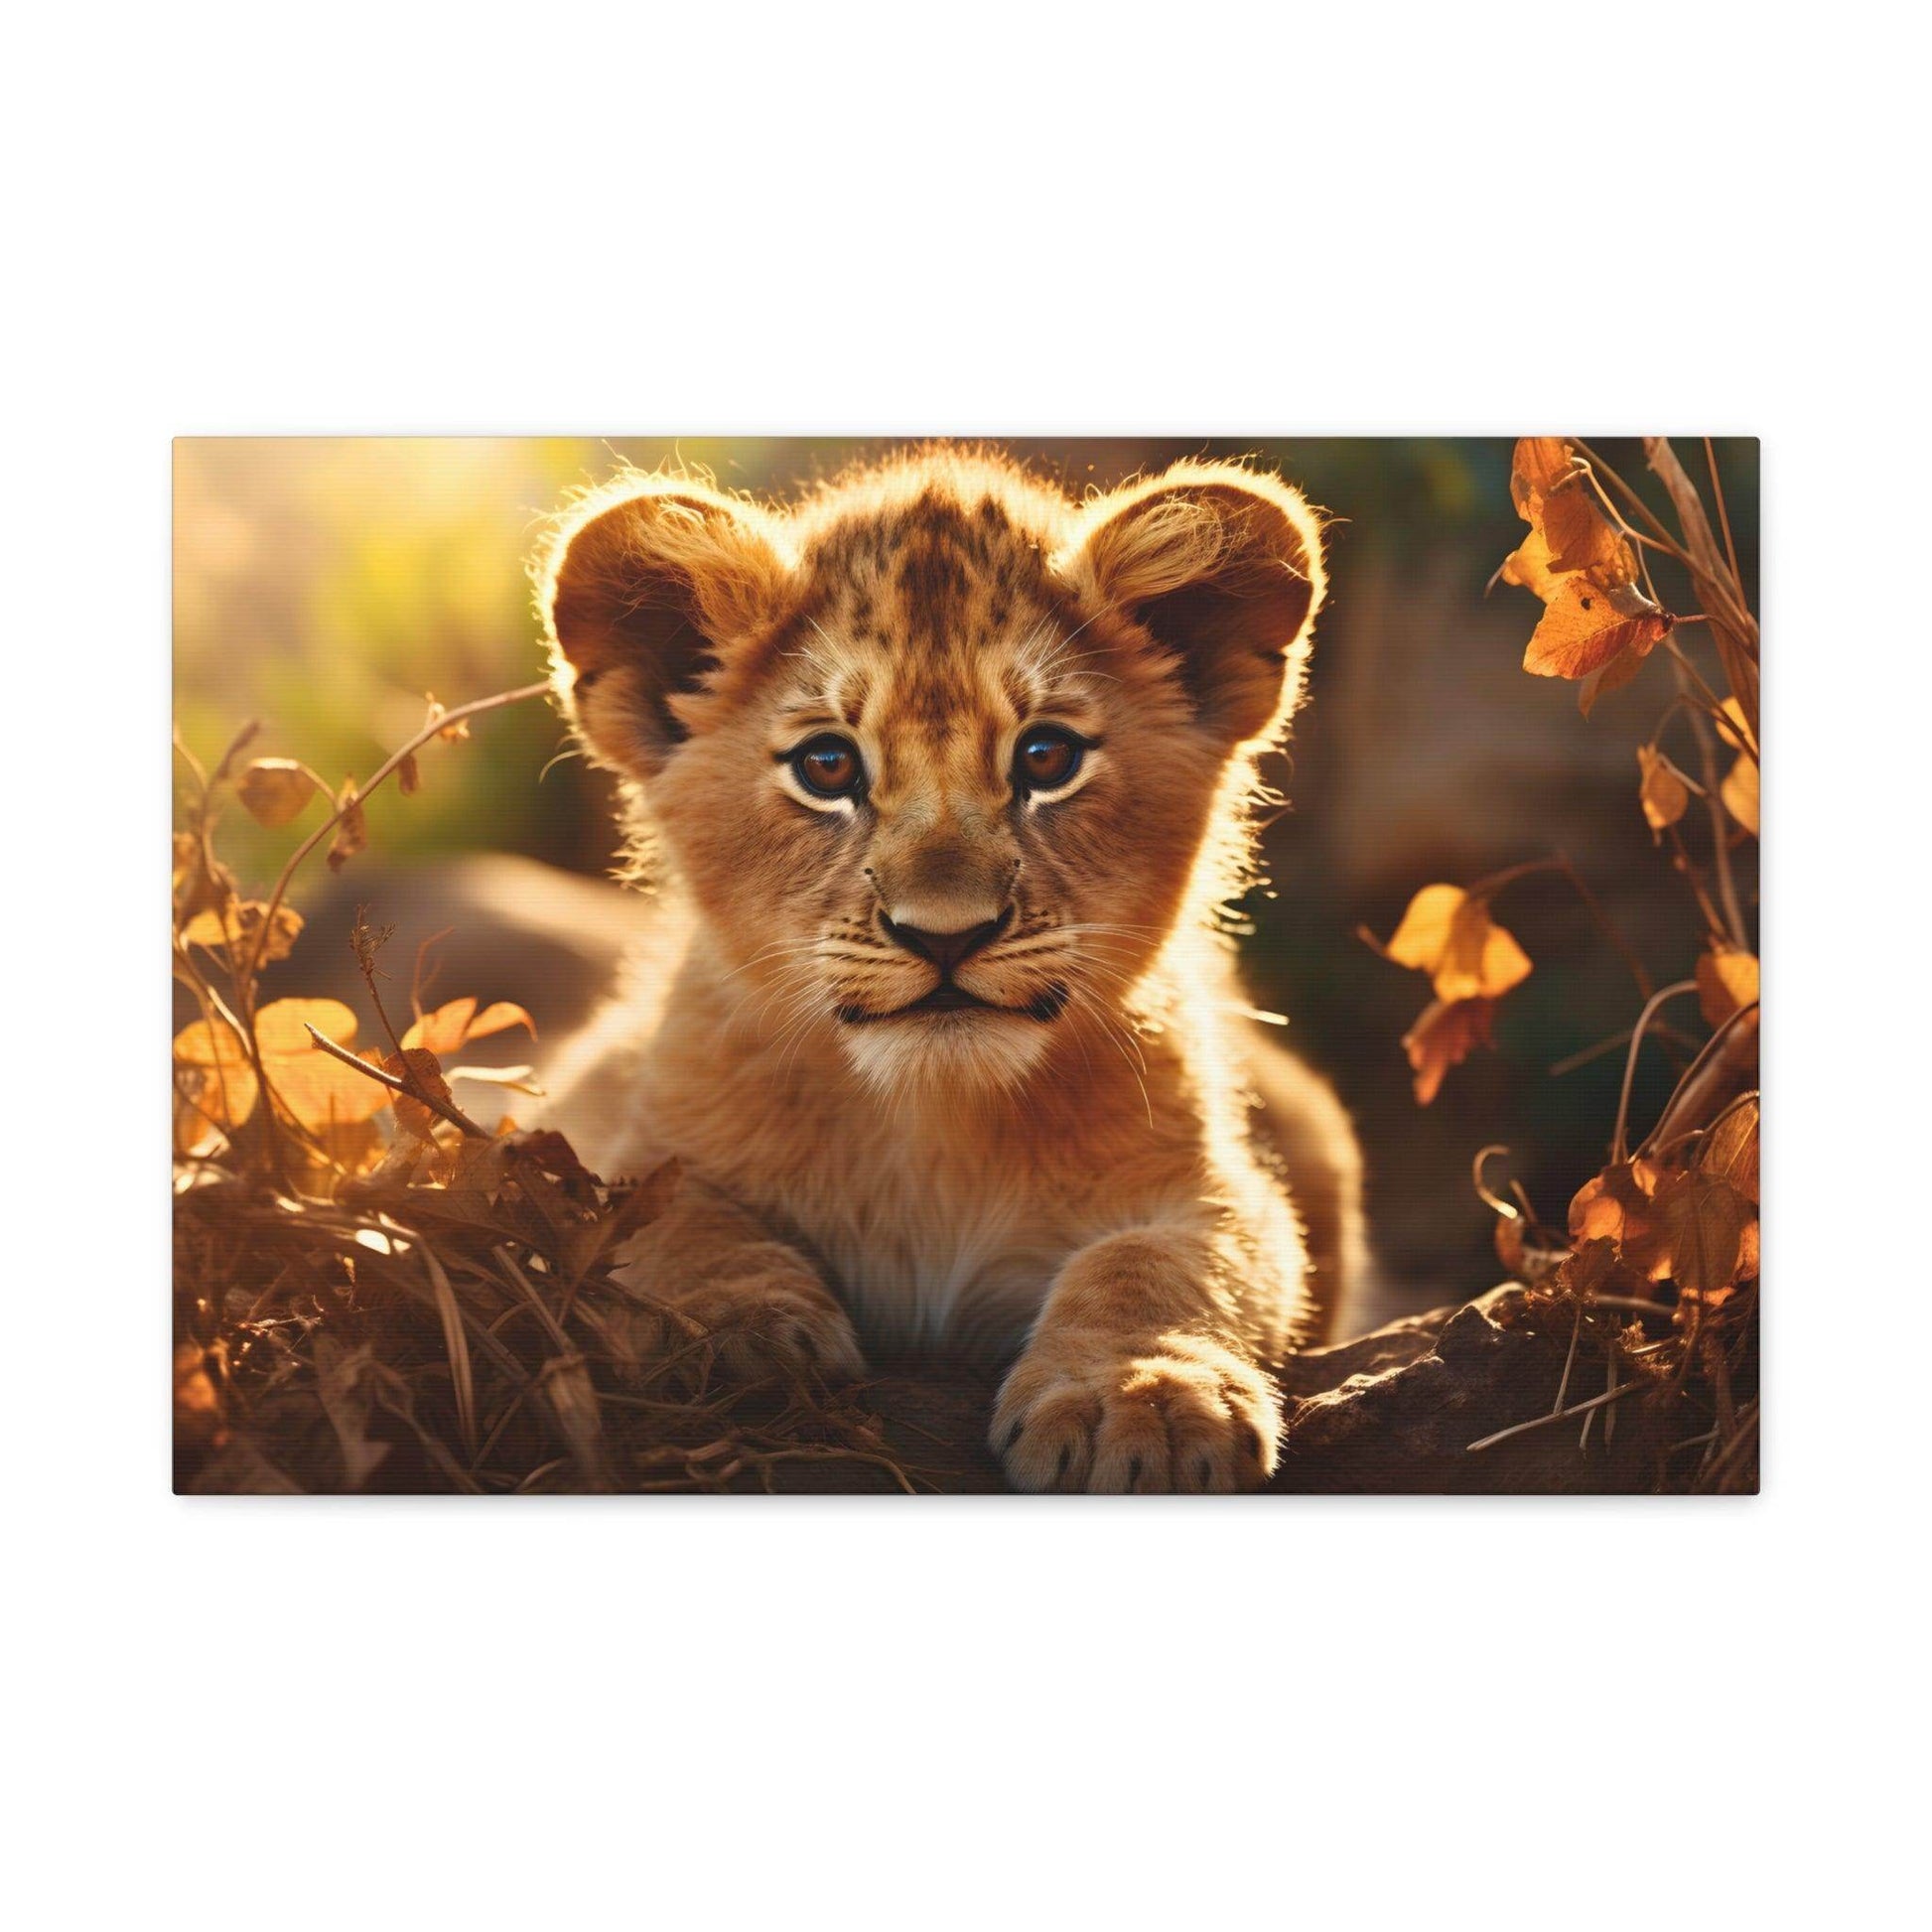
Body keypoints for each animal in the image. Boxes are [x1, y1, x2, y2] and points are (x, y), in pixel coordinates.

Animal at [536, 445, 1367, 1492]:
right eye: (827, 766)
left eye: (1046, 757)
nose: (944, 935)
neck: (929, 1128)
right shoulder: (610, 1127)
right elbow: (667, 1215)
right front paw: (733, 1330)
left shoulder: (1218, 1185)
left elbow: (1161, 1262)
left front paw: (1142, 1397)